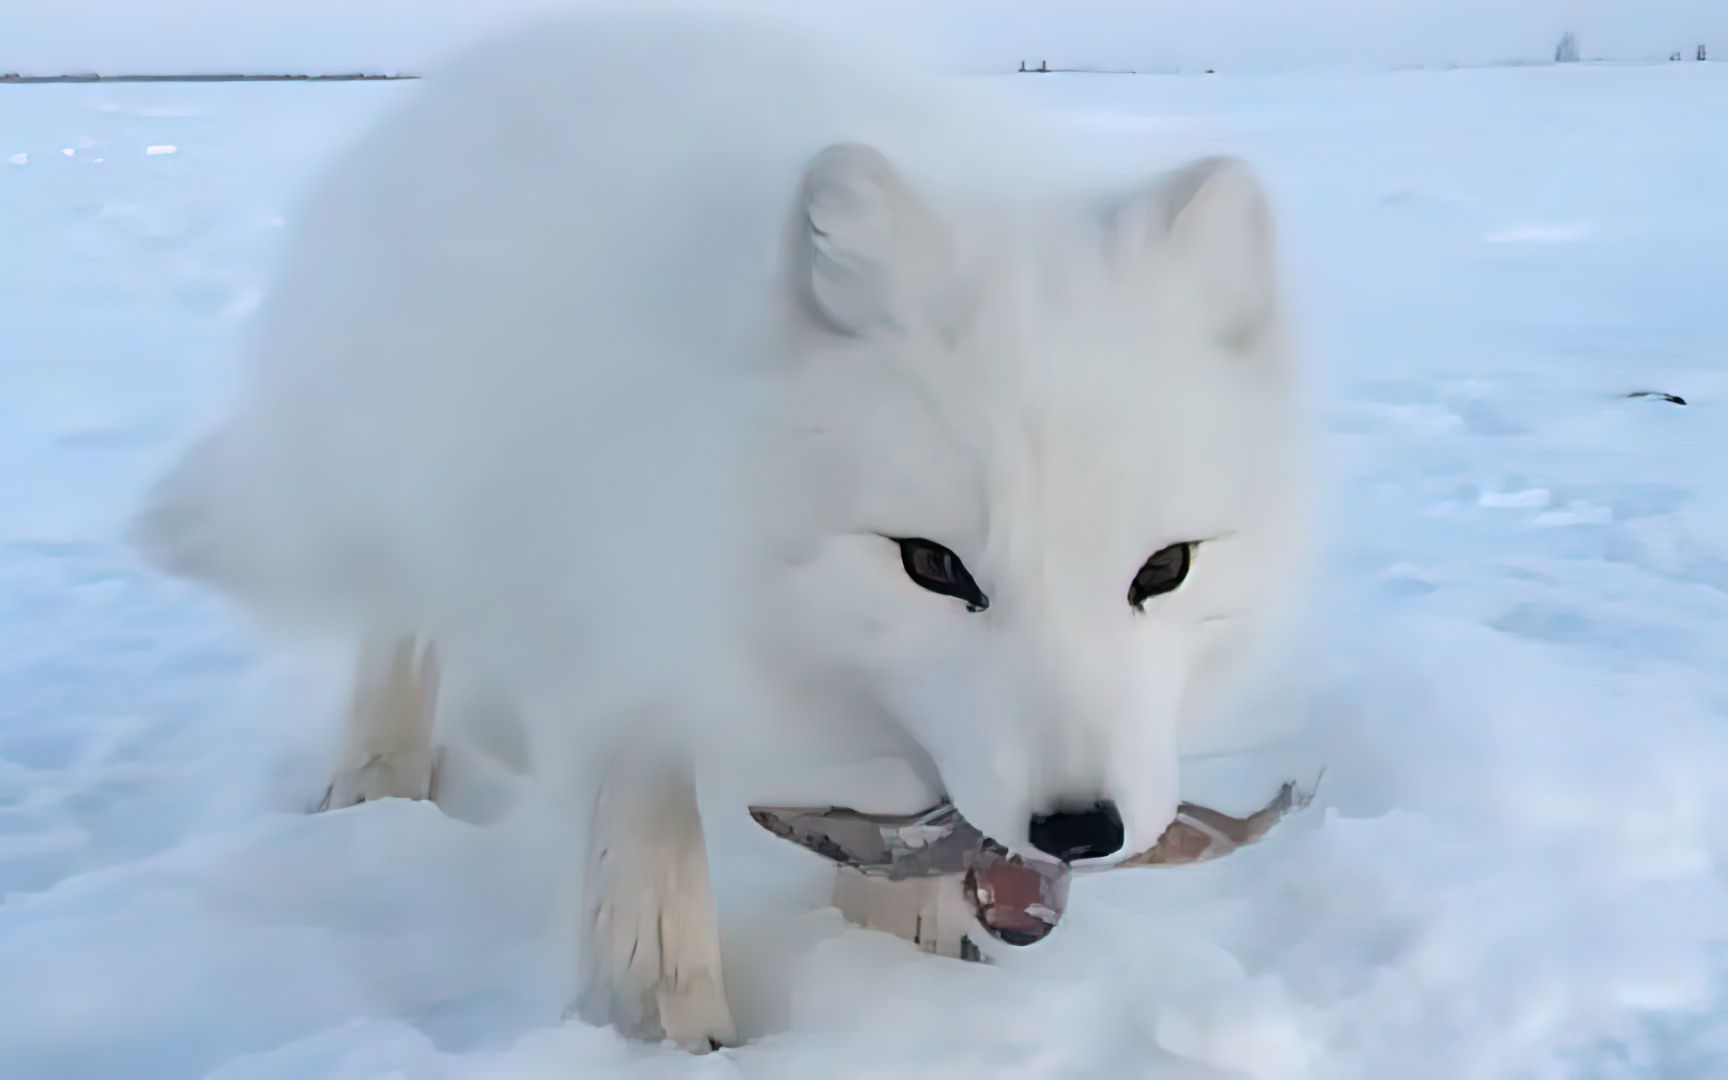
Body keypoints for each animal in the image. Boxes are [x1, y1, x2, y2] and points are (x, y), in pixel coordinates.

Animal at [131, 10, 1299, 1050]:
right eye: (932, 565)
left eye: (1165, 568)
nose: (1080, 829)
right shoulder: (613, 595)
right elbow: (645, 817)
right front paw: (663, 1019)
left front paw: (904, 957)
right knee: (399, 621)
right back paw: (378, 778)